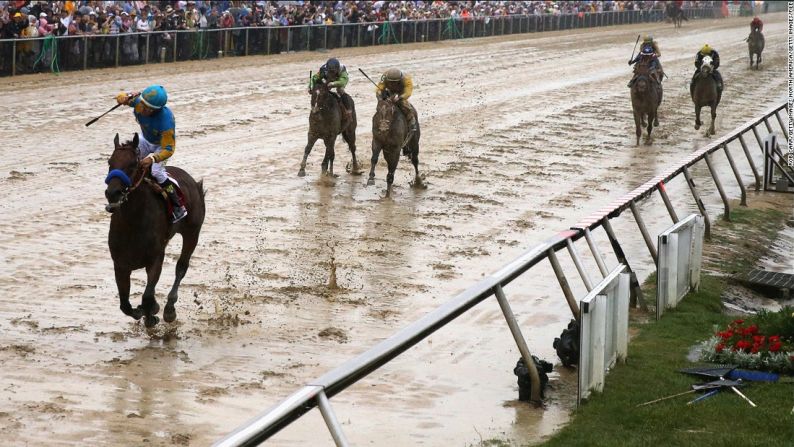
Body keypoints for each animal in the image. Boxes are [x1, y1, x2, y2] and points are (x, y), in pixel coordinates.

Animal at [103, 135, 206, 328]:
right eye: (110, 162)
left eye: (132, 164)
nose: (112, 193)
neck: (133, 223)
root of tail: (192, 181)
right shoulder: (120, 265)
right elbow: (124, 304)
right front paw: (144, 312)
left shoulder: (155, 259)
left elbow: (147, 295)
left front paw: (153, 312)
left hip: (192, 232)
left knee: (181, 267)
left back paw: (169, 308)